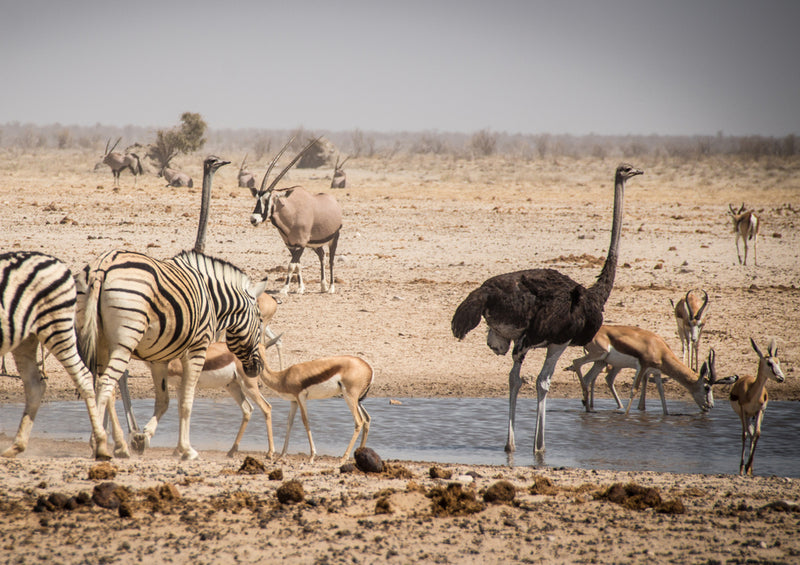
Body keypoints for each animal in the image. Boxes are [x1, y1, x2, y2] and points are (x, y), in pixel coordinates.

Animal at [0, 251, 111, 458]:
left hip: (55, 325)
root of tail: (57, 262)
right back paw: (16, 446)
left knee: (83, 376)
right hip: (27, 336)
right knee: (35, 385)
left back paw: (100, 445)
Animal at [76, 247, 268, 458]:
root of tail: (104, 263)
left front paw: (144, 437)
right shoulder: (197, 349)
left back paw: (119, 445)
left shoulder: (159, 359)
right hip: (123, 343)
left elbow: (164, 401)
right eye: (260, 320)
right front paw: (187, 450)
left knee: (104, 387)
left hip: (100, 343)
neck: (210, 296)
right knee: (106, 383)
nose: (256, 370)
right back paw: (101, 443)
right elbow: (186, 402)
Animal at [247, 138, 340, 294]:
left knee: (331, 260)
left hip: (334, 238)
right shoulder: (291, 245)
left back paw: (331, 287)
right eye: (257, 199)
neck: (291, 213)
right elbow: (297, 265)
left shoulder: (301, 244)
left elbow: (292, 265)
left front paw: (284, 289)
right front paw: (300, 288)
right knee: (322, 256)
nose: (254, 219)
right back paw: (323, 286)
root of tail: (334, 201)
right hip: (315, 243)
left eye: (268, 199)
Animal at [564, 324, 736, 412]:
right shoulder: (643, 366)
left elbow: (661, 393)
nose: (710, 406)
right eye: (707, 387)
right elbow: (634, 390)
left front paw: (666, 415)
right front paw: (626, 416)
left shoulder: (655, 372)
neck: (659, 348)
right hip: (599, 355)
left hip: (601, 361)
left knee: (589, 378)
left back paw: (588, 408)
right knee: (576, 362)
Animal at [732, 340, 780, 476]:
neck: (751, 392)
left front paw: (748, 466)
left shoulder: (760, 410)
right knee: (748, 433)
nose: (781, 378)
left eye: (778, 362)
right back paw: (745, 468)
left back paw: (750, 468)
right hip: (745, 416)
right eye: (769, 363)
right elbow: (744, 435)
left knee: (753, 433)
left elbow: (757, 434)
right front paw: (742, 467)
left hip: (756, 415)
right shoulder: (743, 411)